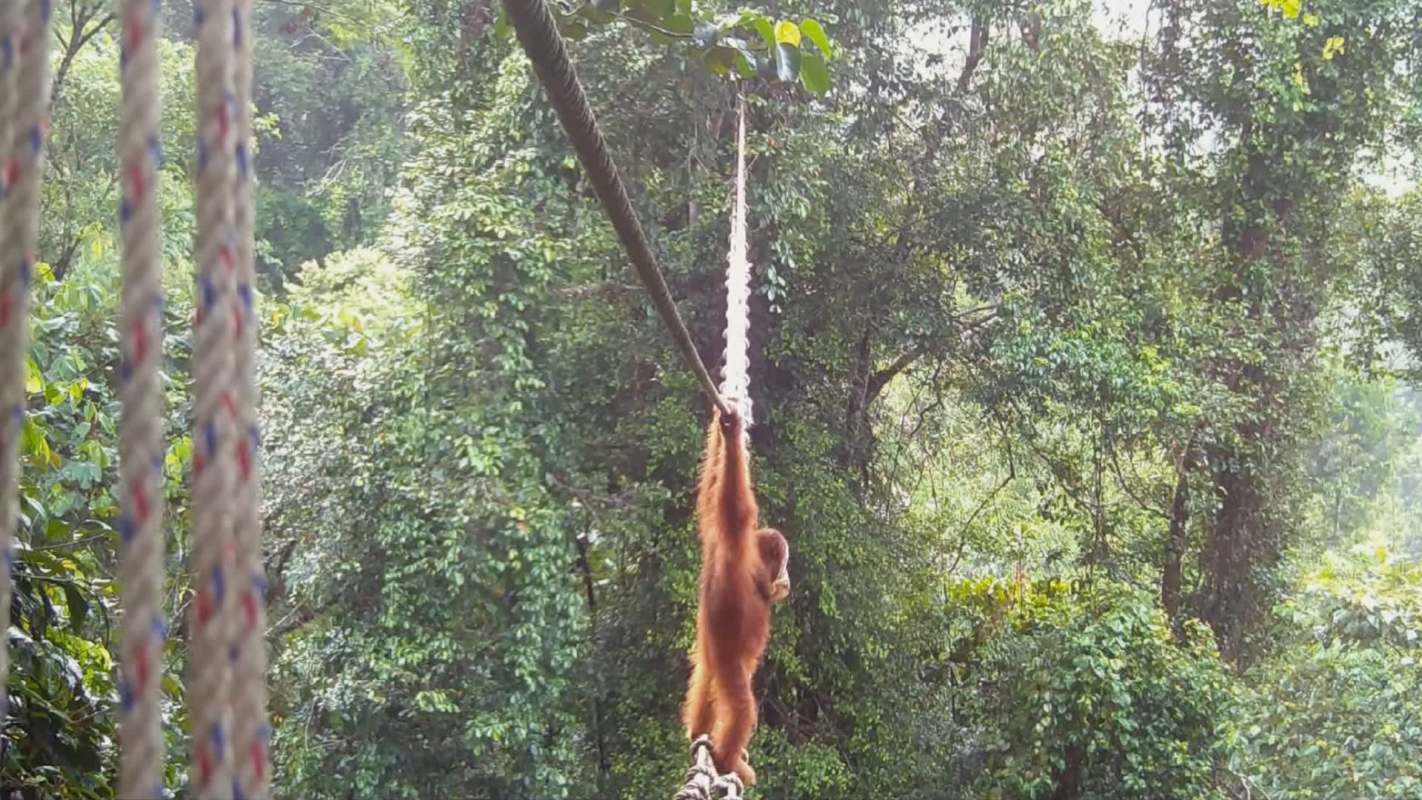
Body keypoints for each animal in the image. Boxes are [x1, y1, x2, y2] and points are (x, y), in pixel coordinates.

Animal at [682, 407, 790, 786]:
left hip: (709, 660)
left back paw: (699, 735)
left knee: (703, 684)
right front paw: (732, 433)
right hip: (728, 666)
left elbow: (711, 496)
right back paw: (727, 760)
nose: (787, 578)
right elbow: (736, 505)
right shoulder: (737, 545)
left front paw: (723, 429)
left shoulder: (716, 536)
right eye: (784, 562)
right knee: (742, 708)